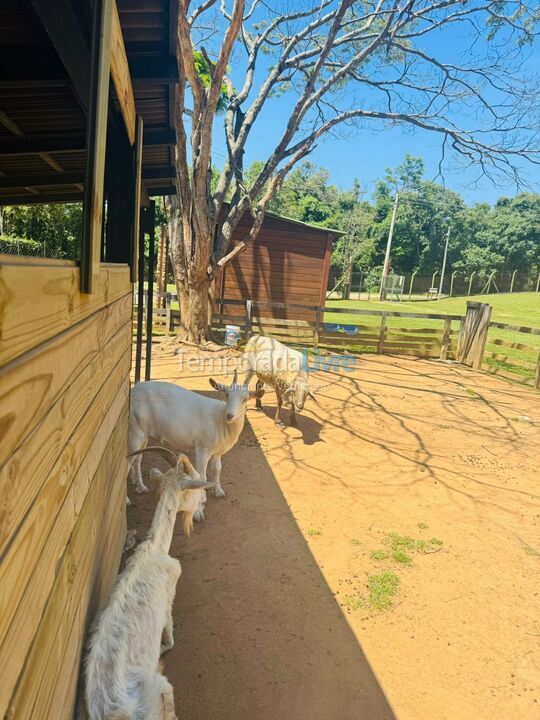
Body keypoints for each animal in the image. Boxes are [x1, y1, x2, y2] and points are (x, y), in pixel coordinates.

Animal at [84, 450, 211, 720]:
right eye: (195, 485)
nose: (204, 502)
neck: (155, 548)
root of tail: (111, 712)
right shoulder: (169, 594)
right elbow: (170, 637)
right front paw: (163, 651)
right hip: (161, 691)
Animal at [126, 372, 262, 512]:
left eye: (245, 399)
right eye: (227, 395)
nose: (229, 415)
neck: (220, 421)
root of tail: (134, 390)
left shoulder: (217, 451)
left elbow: (218, 469)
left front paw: (218, 491)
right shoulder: (203, 448)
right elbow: (202, 476)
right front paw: (201, 502)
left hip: (144, 433)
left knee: (138, 458)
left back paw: (141, 487)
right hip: (135, 431)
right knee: (127, 462)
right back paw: (127, 500)